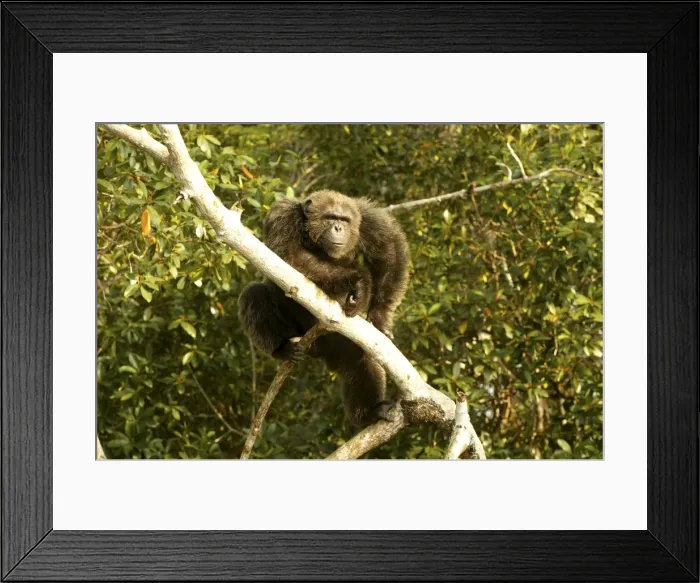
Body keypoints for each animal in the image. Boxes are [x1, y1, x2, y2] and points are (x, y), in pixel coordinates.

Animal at [238, 189, 410, 428]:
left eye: (344, 220)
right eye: (330, 217)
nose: (338, 228)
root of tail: (318, 350)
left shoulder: (368, 219)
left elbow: (388, 250)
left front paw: (380, 316)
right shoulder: (281, 217)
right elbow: (290, 256)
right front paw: (359, 279)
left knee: (359, 359)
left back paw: (370, 412)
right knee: (253, 294)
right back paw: (283, 348)